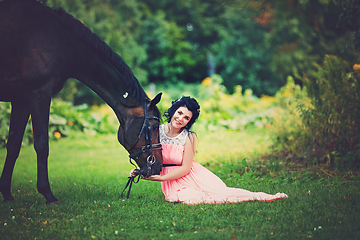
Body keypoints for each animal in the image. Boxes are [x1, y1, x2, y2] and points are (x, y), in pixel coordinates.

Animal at [0, 0, 163, 204]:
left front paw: (7, 194)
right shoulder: (40, 93)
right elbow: (42, 144)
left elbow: (13, 145)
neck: (63, 41)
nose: (159, 166)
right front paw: (47, 193)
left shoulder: (21, 100)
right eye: (154, 127)